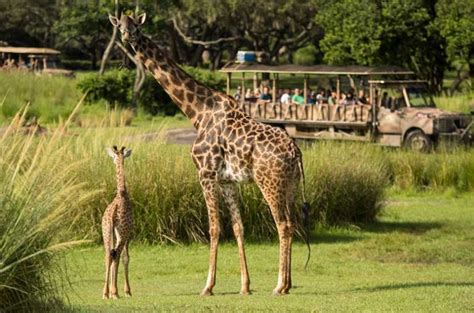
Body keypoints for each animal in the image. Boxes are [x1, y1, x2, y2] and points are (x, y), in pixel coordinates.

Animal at [110, 12, 312, 294]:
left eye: (137, 27)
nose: (128, 36)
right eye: (120, 25)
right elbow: (238, 227)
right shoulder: (227, 181)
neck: (197, 112)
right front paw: (245, 286)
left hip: (269, 182)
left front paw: (208, 286)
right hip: (290, 184)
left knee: (282, 224)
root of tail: (296, 151)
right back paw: (288, 284)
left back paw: (279, 285)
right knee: (292, 223)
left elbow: (214, 228)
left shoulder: (205, 174)